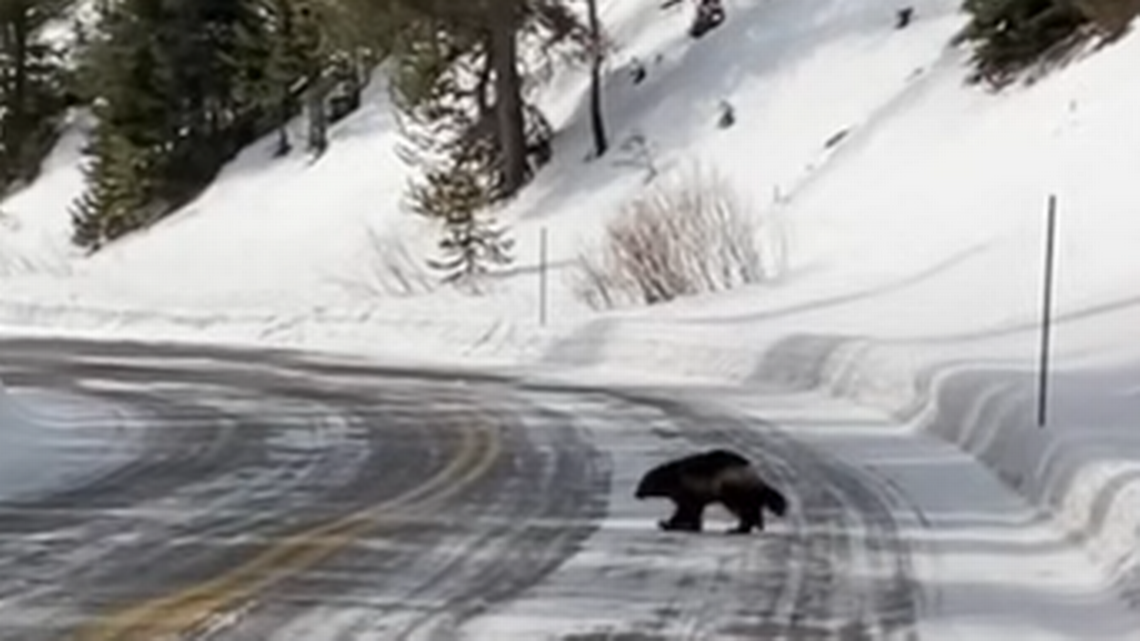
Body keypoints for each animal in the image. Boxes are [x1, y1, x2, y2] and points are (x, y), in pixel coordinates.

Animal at [638, 449, 788, 533]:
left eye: (643, 482)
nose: (636, 493)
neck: (673, 477)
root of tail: (756, 478)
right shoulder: (693, 498)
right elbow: (692, 513)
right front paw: (692, 526)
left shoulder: (687, 494)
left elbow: (685, 512)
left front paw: (668, 524)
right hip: (741, 494)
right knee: (753, 510)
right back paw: (751, 526)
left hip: (734, 492)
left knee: (746, 511)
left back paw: (739, 529)